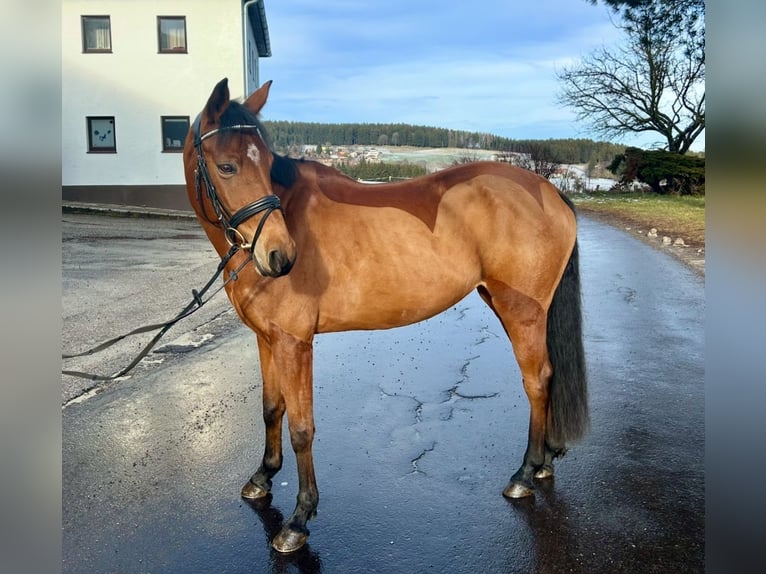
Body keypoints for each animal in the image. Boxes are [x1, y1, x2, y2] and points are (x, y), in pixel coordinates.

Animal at [183, 79, 592, 556]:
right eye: (227, 166)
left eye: (266, 165)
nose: (280, 257)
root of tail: (549, 190)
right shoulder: (267, 339)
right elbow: (271, 409)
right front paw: (262, 477)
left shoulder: (294, 342)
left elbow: (302, 427)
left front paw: (299, 519)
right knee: (547, 375)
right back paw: (544, 462)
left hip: (521, 311)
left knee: (537, 380)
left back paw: (525, 474)